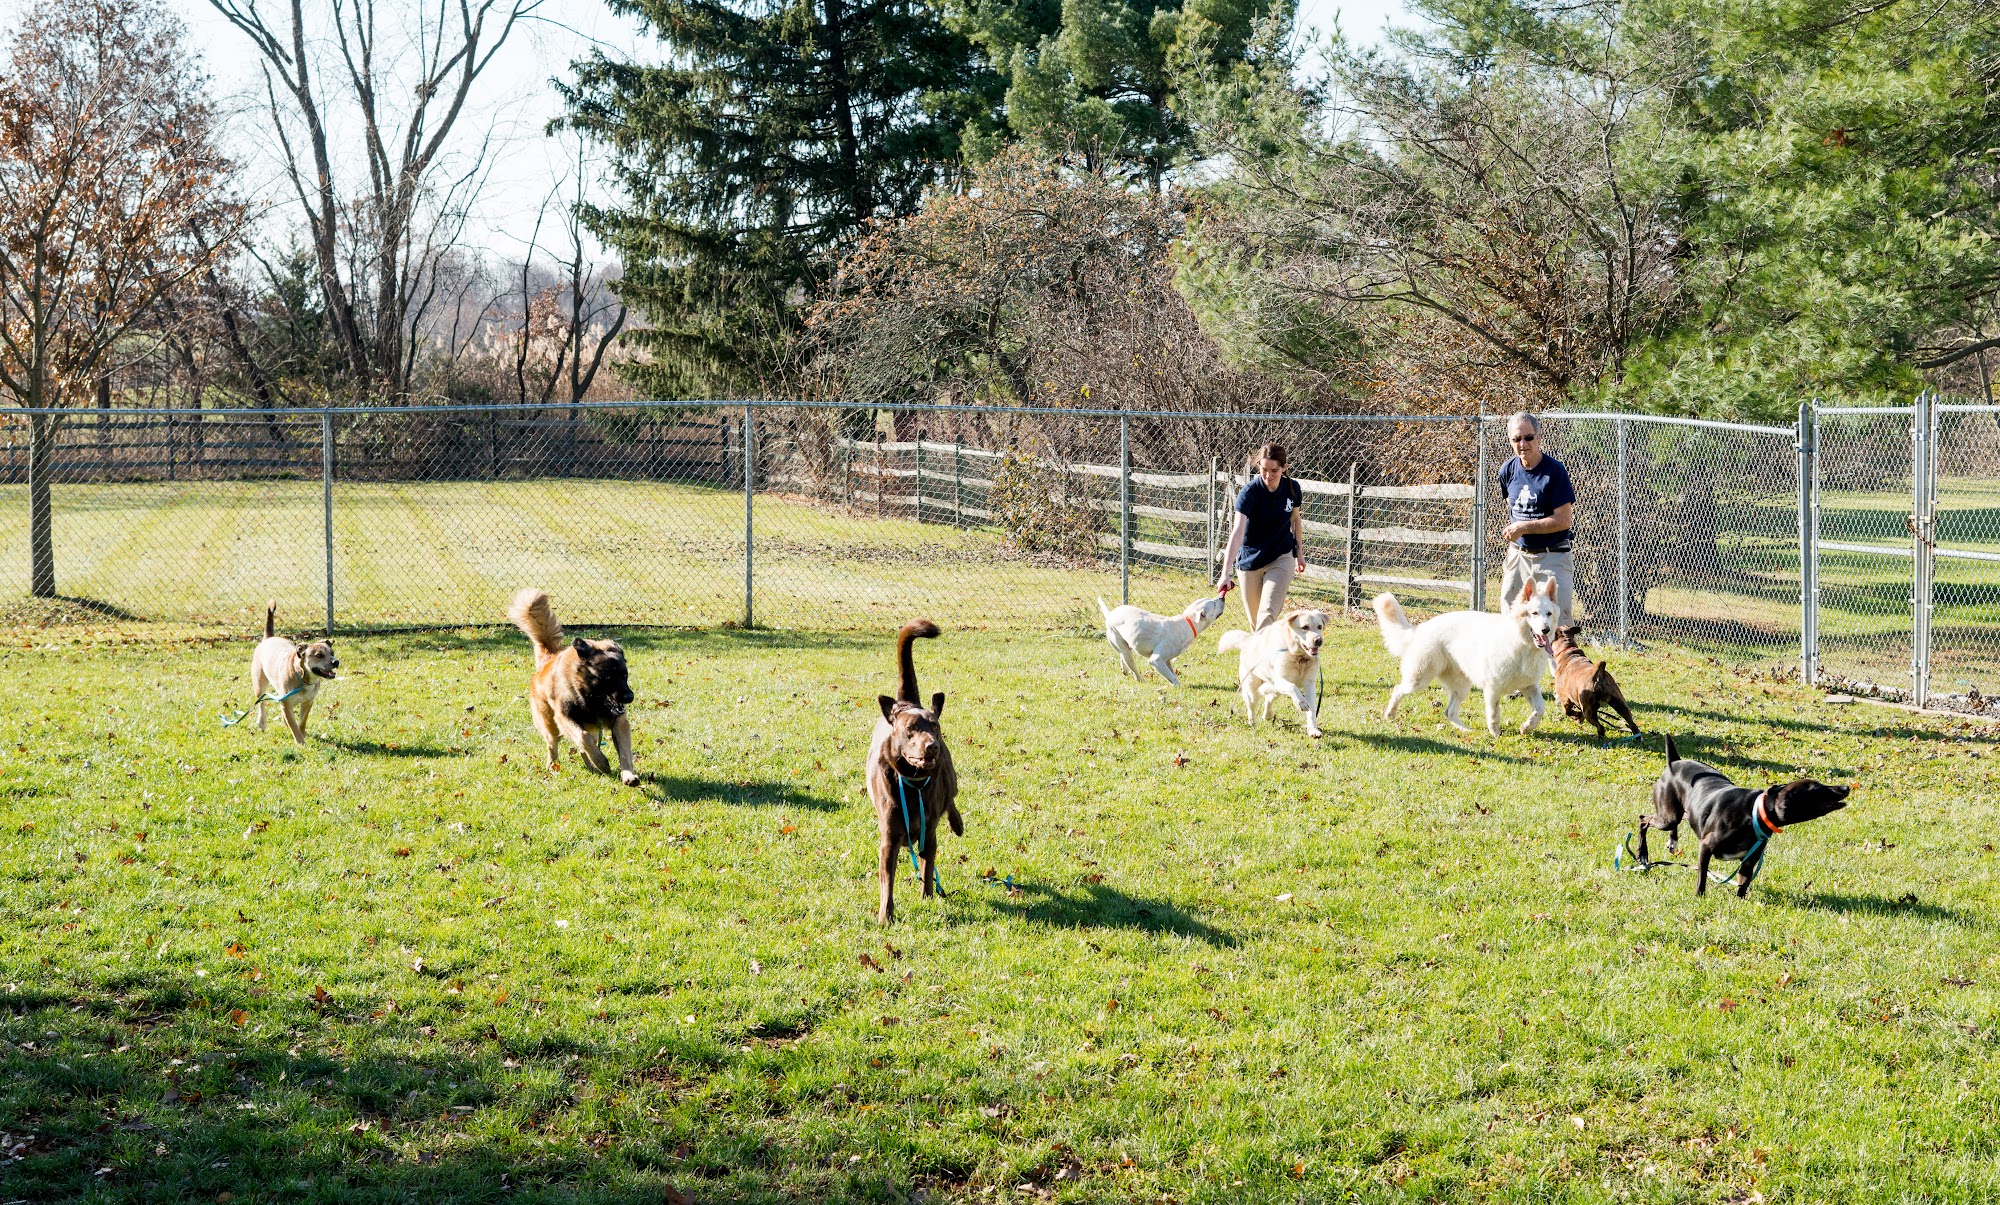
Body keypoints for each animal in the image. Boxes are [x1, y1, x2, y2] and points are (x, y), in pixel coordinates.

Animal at [250, 600, 340, 740]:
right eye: (319, 655)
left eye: (332, 653)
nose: (336, 662)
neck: (303, 678)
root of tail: (268, 638)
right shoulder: (286, 705)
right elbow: (294, 726)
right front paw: (300, 741)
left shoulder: (308, 703)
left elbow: (302, 722)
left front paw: (302, 733)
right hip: (260, 683)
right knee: (261, 701)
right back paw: (262, 722)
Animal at [512, 584, 636, 784]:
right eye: (608, 678)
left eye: (624, 675)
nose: (629, 697)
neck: (588, 697)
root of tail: (547, 662)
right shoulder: (564, 717)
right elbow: (583, 739)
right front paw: (602, 762)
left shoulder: (619, 721)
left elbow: (624, 752)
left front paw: (629, 775)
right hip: (551, 725)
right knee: (554, 745)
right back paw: (553, 766)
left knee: (582, 747)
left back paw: (591, 766)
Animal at [864, 620, 964, 920]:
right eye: (911, 729)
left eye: (935, 726)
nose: (932, 746)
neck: (913, 784)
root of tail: (906, 702)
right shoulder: (889, 839)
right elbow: (887, 881)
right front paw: (885, 916)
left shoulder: (928, 833)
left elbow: (928, 868)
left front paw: (928, 898)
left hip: (949, 776)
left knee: (951, 799)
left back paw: (957, 824)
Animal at [1216, 604, 1328, 736]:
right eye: (1305, 627)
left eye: (1319, 626)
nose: (1318, 640)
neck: (1299, 658)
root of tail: (1248, 641)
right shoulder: (1280, 680)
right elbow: (1293, 687)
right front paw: (1301, 703)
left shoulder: (1309, 685)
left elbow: (1312, 710)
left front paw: (1313, 730)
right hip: (1253, 689)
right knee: (1252, 706)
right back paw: (1253, 723)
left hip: (1276, 689)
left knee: (1269, 697)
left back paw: (1268, 714)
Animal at [1376, 576, 1560, 732]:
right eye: (1534, 613)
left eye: (1549, 614)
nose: (1546, 630)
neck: (1522, 644)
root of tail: (1420, 628)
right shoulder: (1493, 688)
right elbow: (1494, 714)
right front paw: (1495, 734)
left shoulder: (1529, 686)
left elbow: (1540, 708)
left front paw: (1527, 727)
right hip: (1419, 680)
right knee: (1398, 689)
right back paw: (1390, 714)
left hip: (1461, 687)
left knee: (1449, 712)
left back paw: (1465, 730)